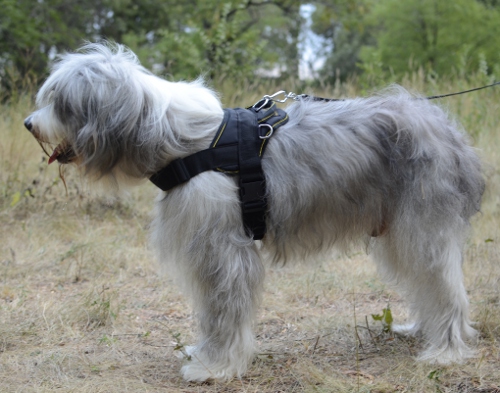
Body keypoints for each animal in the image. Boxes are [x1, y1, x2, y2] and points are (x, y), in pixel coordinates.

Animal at [24, 42, 484, 380]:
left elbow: (222, 313)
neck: (176, 137)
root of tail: (446, 128)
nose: (29, 123)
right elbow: (212, 314)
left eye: (59, 102)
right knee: (429, 285)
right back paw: (421, 330)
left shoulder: (222, 250)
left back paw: (445, 351)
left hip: (421, 228)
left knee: (446, 289)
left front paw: (213, 367)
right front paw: (205, 355)